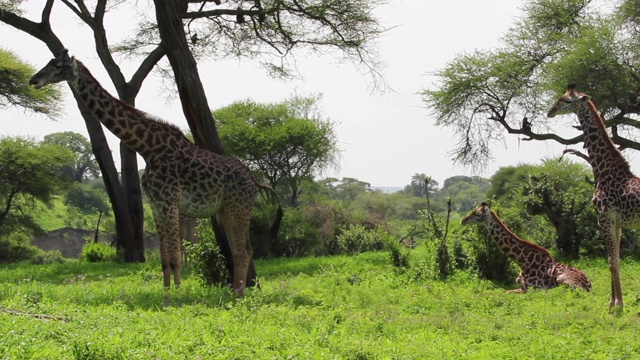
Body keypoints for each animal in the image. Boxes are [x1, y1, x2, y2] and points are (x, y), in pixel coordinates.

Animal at [29, 50, 280, 298]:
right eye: (49, 62)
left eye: (57, 66)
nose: (33, 80)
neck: (147, 148)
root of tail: (254, 180)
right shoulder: (156, 204)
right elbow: (164, 258)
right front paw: (167, 292)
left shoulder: (169, 201)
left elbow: (175, 255)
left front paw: (176, 296)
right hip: (225, 210)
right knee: (243, 249)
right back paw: (238, 292)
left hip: (238, 208)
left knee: (242, 250)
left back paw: (238, 294)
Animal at [460, 202, 592, 292]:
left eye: (478, 214)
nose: (463, 220)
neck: (522, 262)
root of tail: (588, 282)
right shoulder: (521, 286)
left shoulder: (531, 288)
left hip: (563, 280)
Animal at [544, 83, 640, 310]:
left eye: (567, 100)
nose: (550, 111)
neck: (604, 170)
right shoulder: (617, 222)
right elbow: (615, 260)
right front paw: (613, 302)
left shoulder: (604, 218)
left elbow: (612, 262)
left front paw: (617, 305)